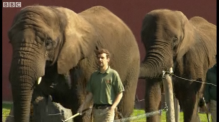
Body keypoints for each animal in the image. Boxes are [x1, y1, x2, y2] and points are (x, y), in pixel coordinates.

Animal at [8, 4, 140, 122]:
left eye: (48, 43)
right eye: (10, 40)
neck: (55, 12)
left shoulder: (85, 65)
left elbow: (81, 110)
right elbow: (34, 106)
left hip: (132, 67)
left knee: (124, 110)